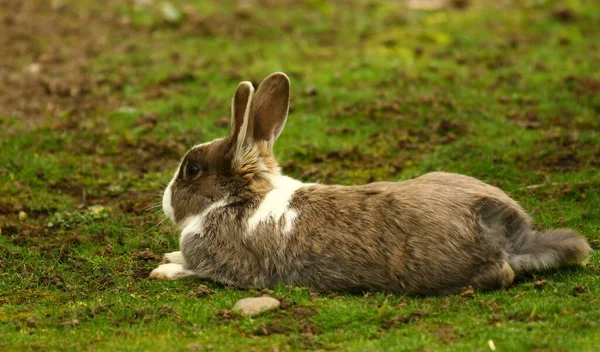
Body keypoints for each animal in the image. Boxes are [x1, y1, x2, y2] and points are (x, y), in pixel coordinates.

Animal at [150, 71, 592, 294]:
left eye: (192, 170)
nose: (166, 203)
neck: (237, 199)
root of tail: (512, 234)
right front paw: (170, 257)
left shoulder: (229, 267)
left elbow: (198, 271)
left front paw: (165, 270)